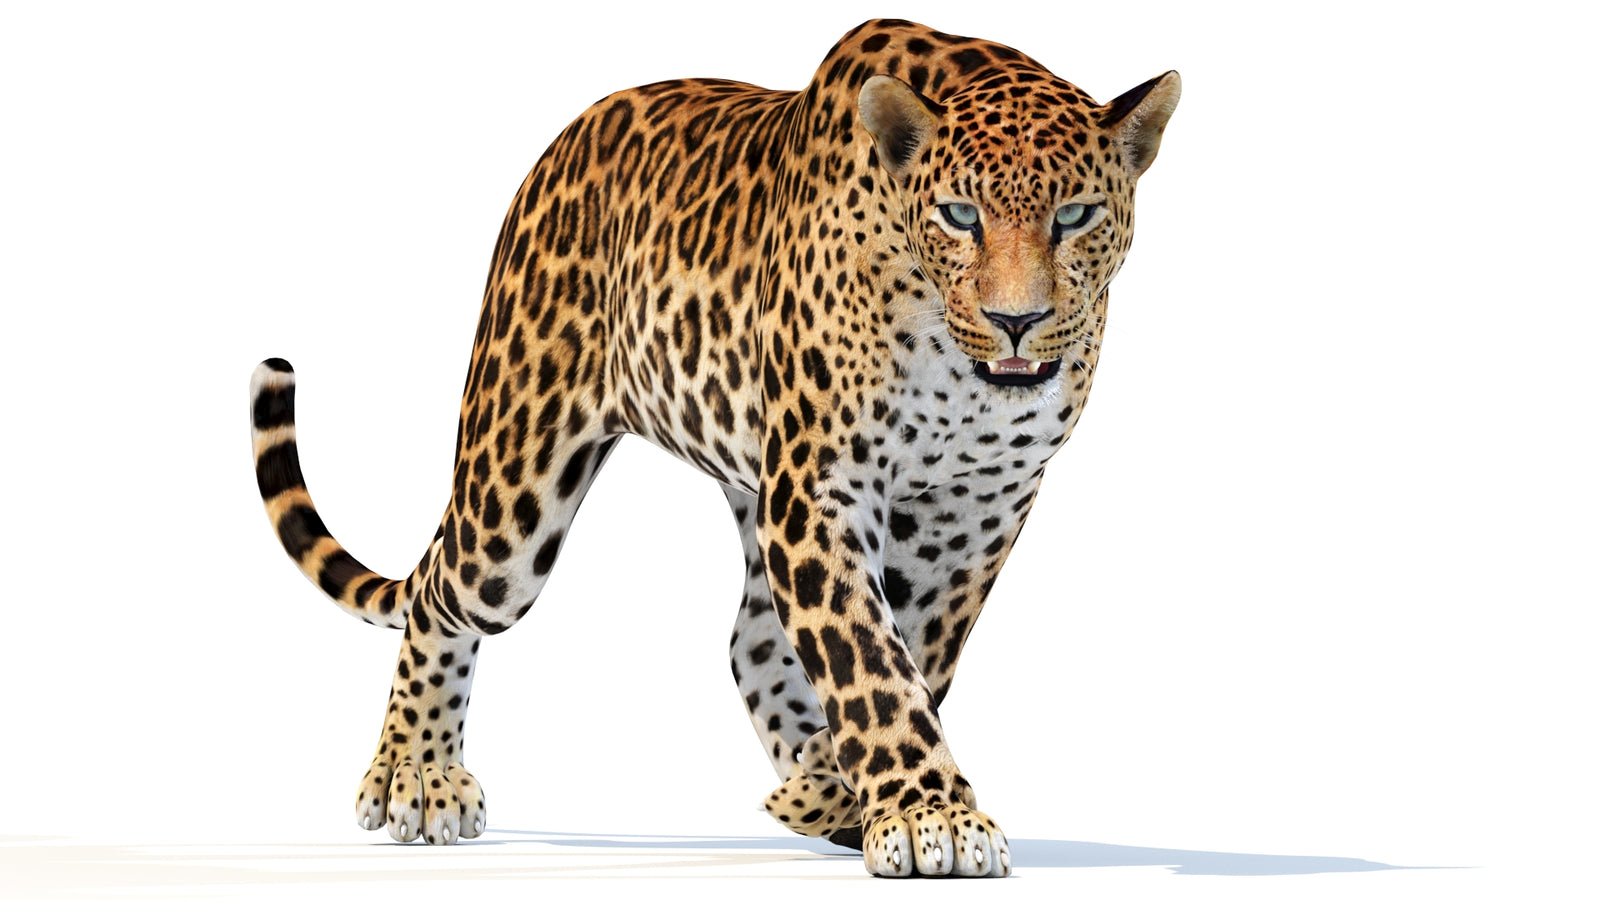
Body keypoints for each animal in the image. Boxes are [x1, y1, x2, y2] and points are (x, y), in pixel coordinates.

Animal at [249, 18, 1178, 878]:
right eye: (960, 215)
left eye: (1075, 216)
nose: (1016, 321)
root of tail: (562, 143)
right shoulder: (822, 484)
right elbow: (869, 657)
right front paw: (928, 815)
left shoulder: (979, 507)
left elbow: (913, 650)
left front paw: (837, 787)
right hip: (513, 499)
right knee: (445, 593)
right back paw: (416, 771)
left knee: (750, 640)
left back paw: (806, 783)